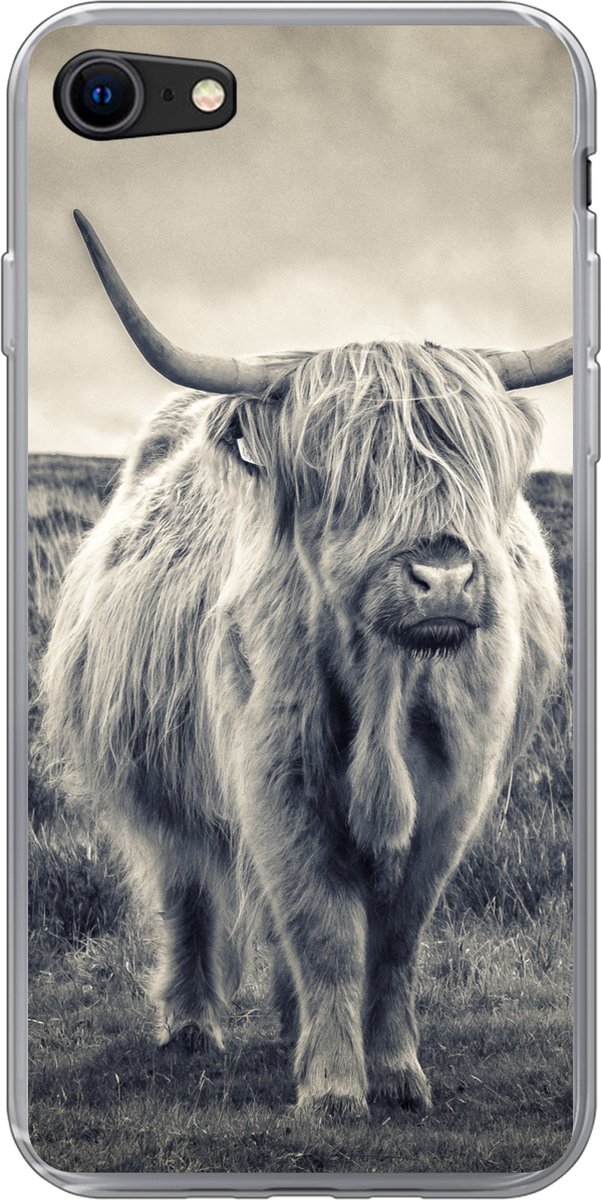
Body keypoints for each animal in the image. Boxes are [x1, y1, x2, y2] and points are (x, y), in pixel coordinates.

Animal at [42, 210, 568, 1118]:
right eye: (344, 475)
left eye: (474, 464)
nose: (442, 576)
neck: (388, 686)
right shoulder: (275, 780)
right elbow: (321, 928)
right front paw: (330, 1088)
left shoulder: (453, 795)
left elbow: (393, 938)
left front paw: (393, 1072)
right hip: (160, 784)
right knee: (188, 888)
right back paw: (191, 1026)